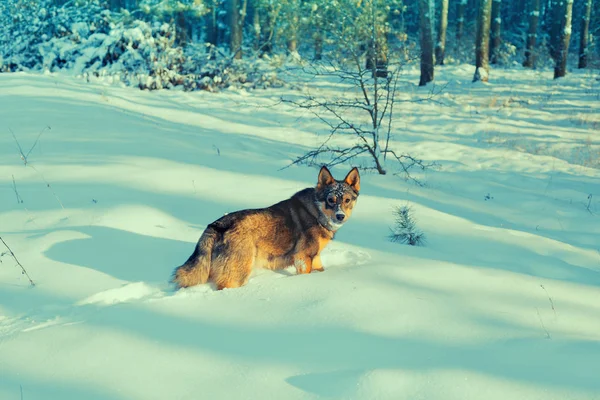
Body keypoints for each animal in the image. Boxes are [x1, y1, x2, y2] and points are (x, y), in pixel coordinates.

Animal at [172, 166, 360, 290]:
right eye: (331, 200)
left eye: (347, 200)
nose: (340, 216)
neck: (315, 212)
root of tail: (216, 225)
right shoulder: (302, 258)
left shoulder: (315, 256)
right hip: (238, 275)